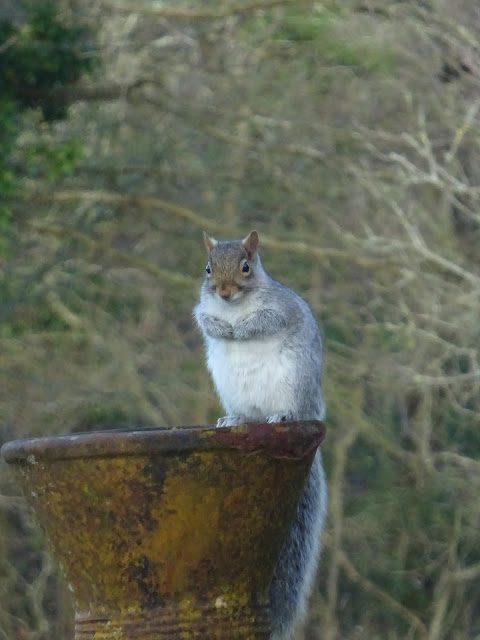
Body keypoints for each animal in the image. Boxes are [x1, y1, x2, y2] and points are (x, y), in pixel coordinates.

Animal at [194, 229, 327, 640]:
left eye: (245, 267)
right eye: (208, 268)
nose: (223, 292)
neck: (234, 306)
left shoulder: (277, 309)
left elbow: (266, 320)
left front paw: (241, 330)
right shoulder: (203, 306)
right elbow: (203, 318)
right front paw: (222, 329)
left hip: (293, 384)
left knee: (283, 411)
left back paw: (280, 414)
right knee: (246, 415)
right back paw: (232, 418)